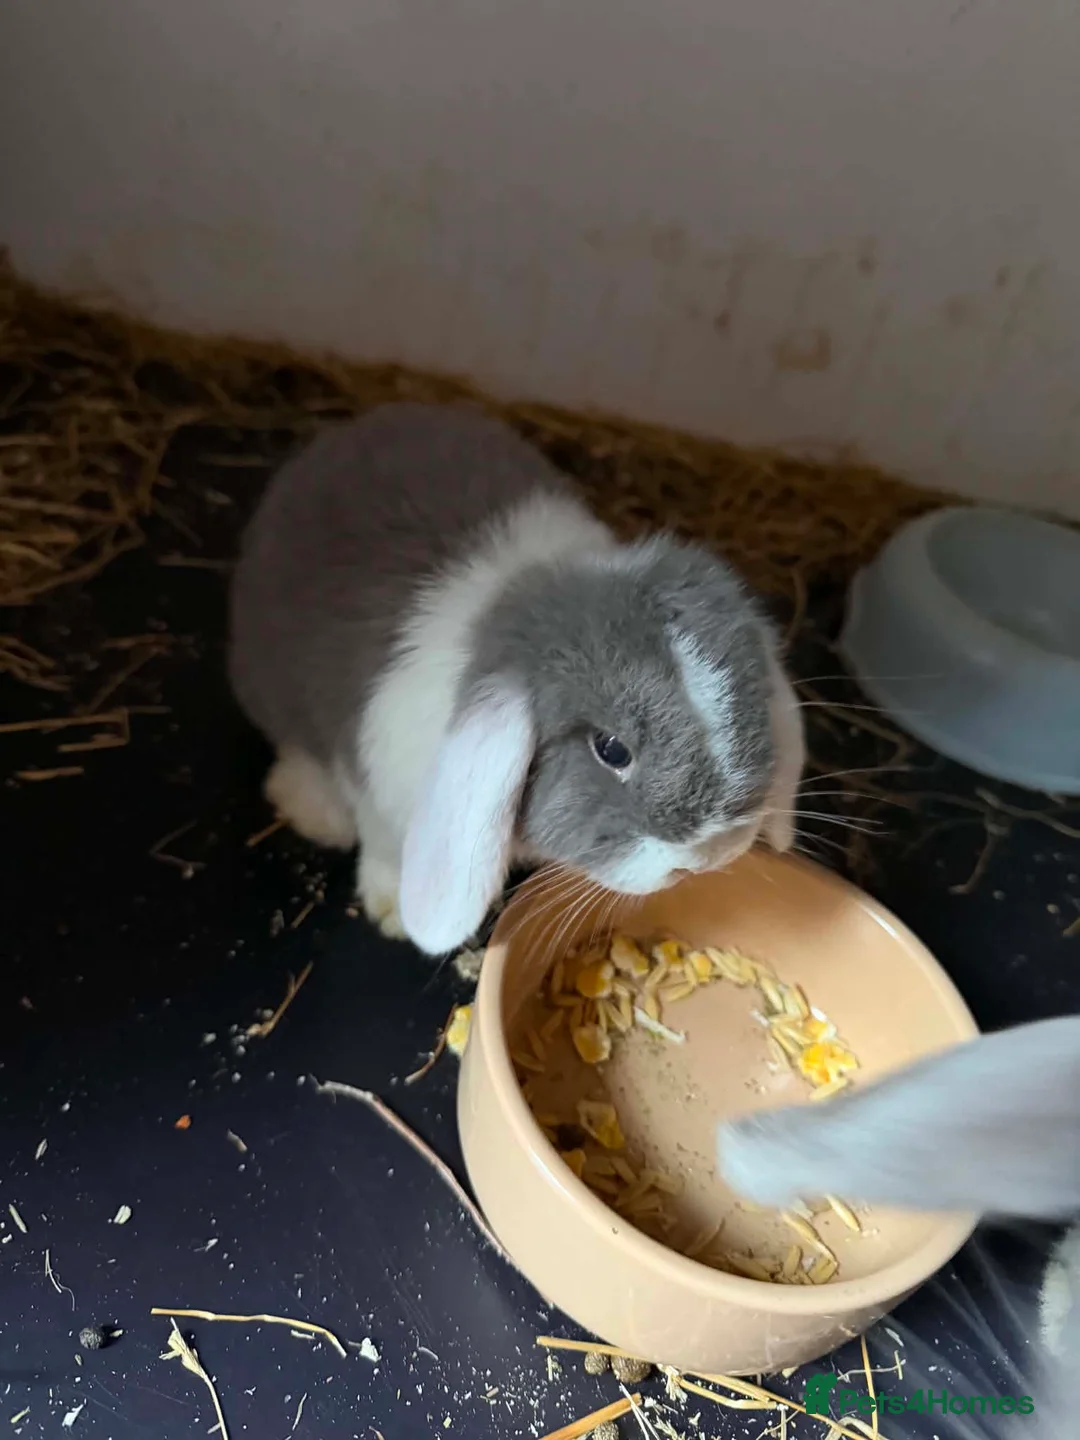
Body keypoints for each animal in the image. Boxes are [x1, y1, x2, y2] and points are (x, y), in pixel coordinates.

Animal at [229, 402, 805, 954]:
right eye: (611, 749)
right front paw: (393, 915)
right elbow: (385, 849)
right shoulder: (379, 792)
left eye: (751, 712)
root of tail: (340, 438)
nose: (708, 855)